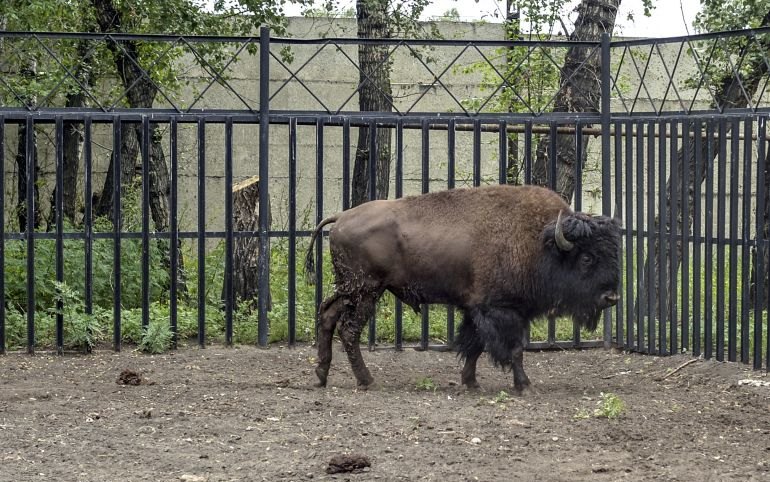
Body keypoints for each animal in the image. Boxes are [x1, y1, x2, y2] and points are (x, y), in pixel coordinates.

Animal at [304, 184, 620, 392]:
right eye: (587, 257)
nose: (612, 296)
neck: (541, 242)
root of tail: (340, 217)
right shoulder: (501, 310)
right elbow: (514, 348)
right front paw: (525, 385)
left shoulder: (475, 309)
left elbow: (474, 346)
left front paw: (471, 382)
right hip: (366, 291)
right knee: (349, 330)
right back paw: (366, 380)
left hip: (350, 291)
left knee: (327, 315)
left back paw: (321, 375)